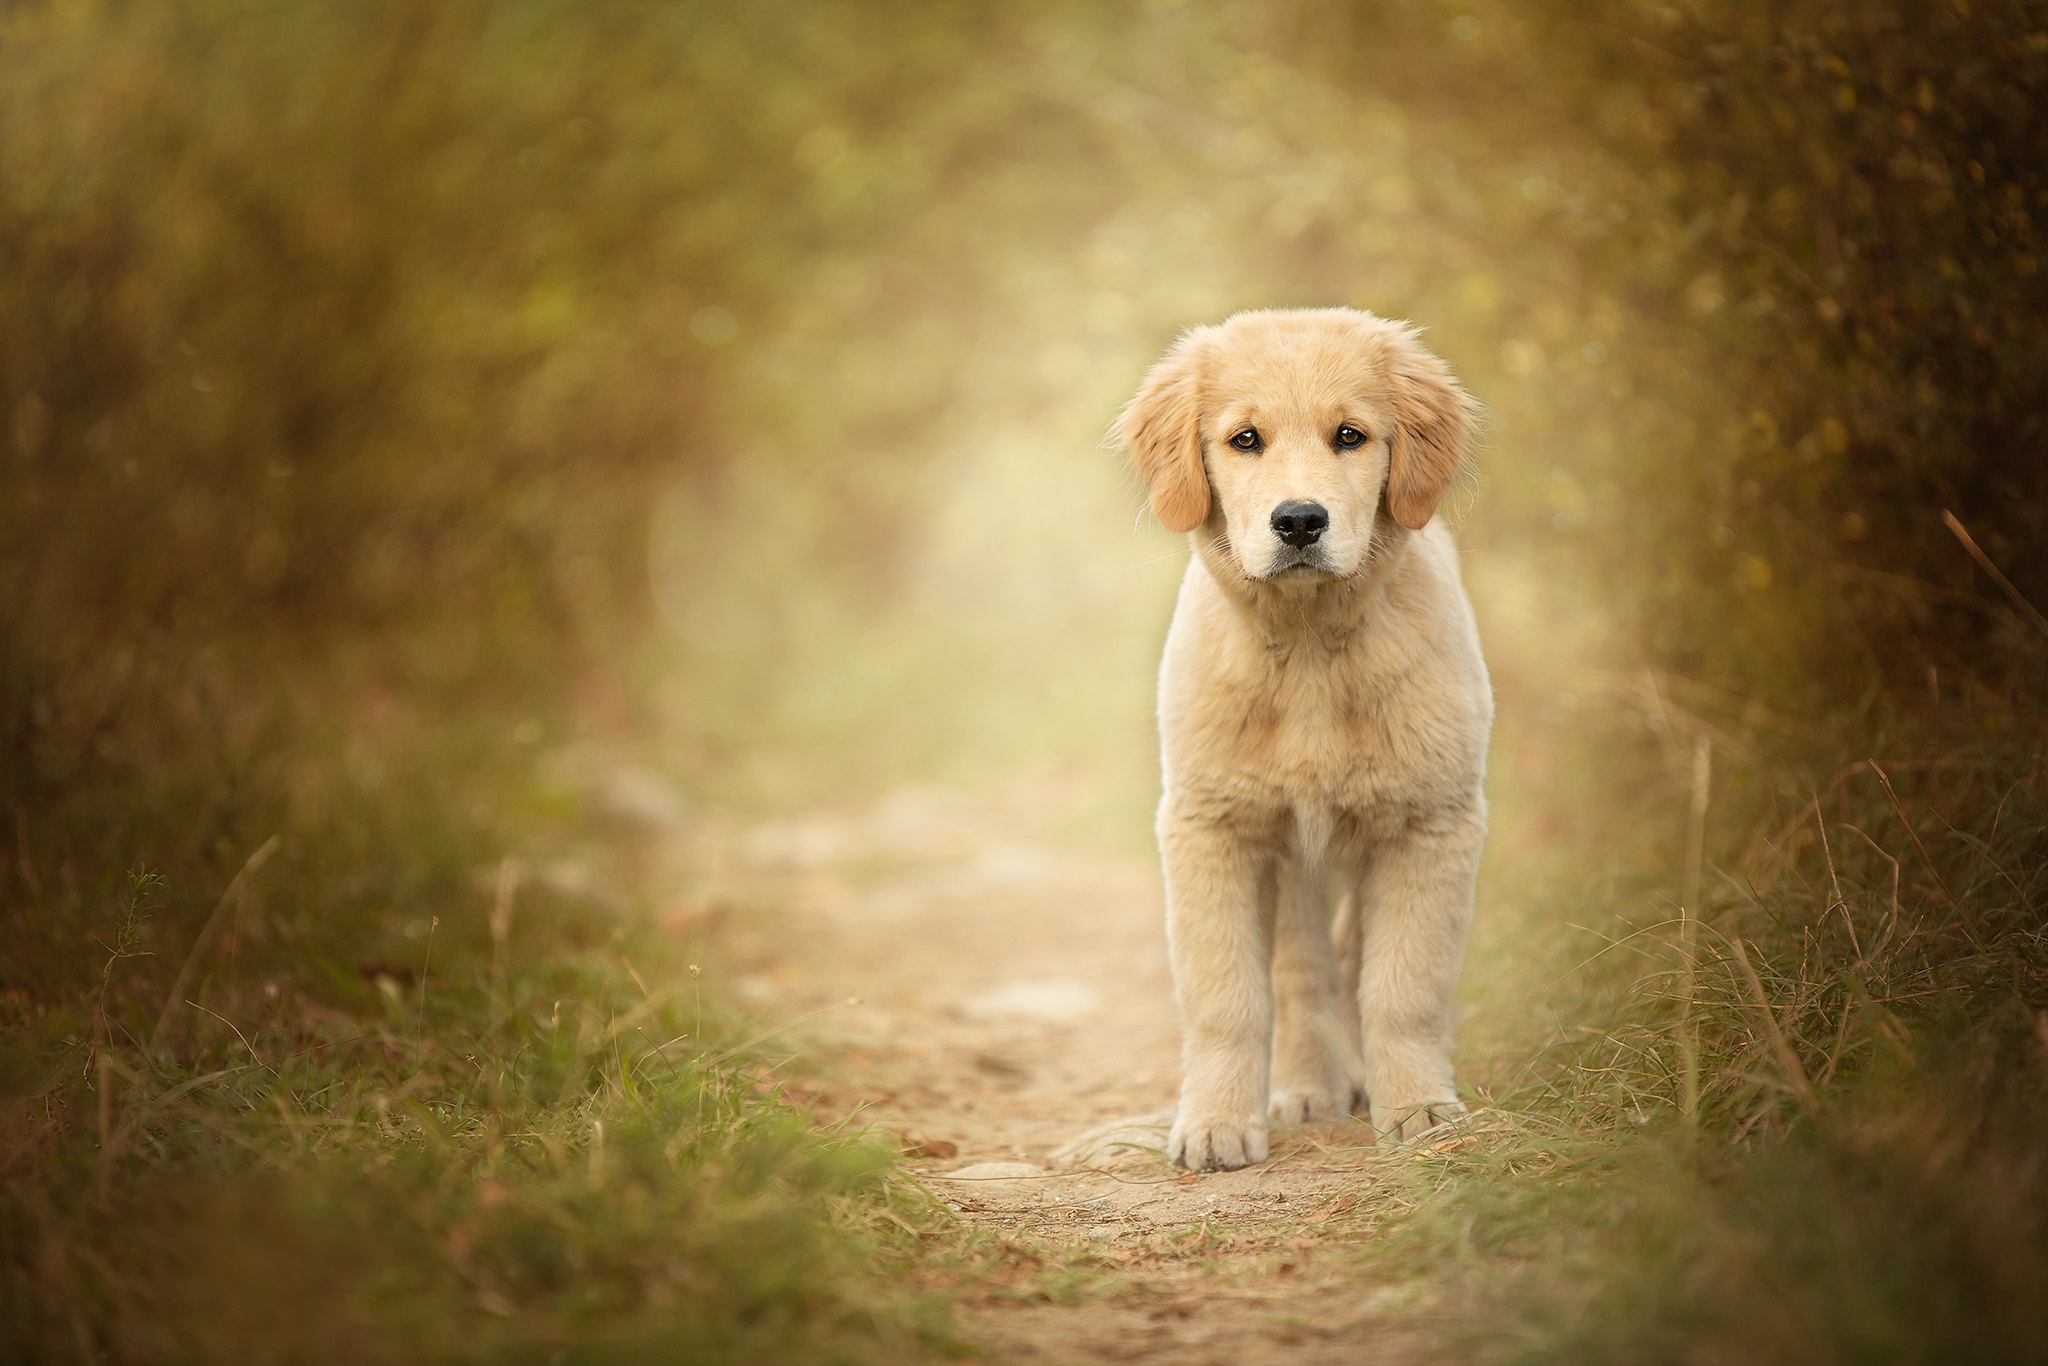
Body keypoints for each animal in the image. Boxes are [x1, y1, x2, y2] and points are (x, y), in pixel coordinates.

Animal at [1122, 309, 1490, 1179]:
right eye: (1245, 439)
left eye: (1350, 436)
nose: (1297, 521)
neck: (1312, 644)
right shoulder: (1211, 826)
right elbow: (1227, 997)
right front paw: (1216, 1123)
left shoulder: (1434, 822)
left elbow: (1403, 986)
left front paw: (1420, 1108)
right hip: (1289, 852)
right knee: (1301, 972)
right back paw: (1304, 1087)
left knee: (1350, 961)